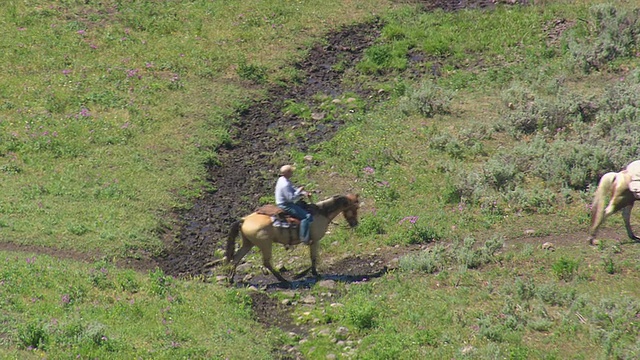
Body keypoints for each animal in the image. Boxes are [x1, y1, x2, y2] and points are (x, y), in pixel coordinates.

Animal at [224, 194, 360, 284]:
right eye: (354, 208)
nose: (355, 224)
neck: (322, 213)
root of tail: (244, 219)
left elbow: (313, 257)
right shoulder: (315, 240)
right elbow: (314, 257)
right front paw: (312, 273)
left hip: (248, 243)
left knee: (236, 258)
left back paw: (230, 279)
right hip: (265, 245)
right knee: (266, 262)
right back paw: (282, 280)